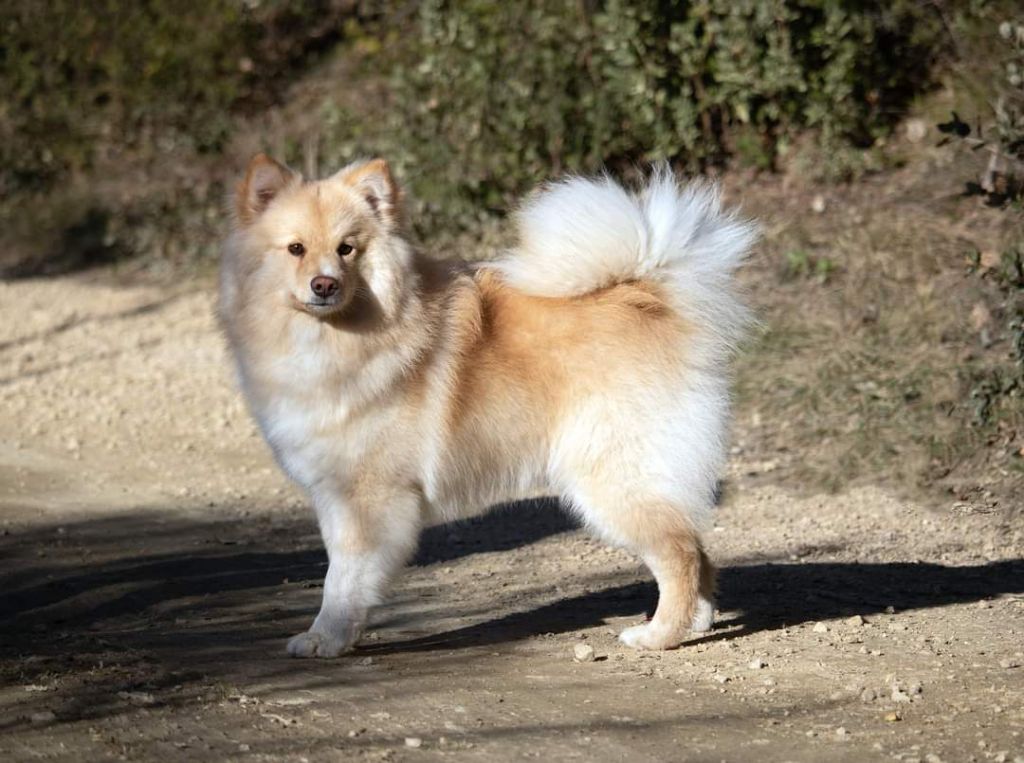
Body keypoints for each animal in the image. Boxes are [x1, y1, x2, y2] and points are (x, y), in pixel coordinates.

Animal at [218, 154, 753, 655]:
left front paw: (325, 638)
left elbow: (344, 578)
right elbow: (342, 569)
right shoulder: (335, 493)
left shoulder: (370, 497)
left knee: (679, 551)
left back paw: (658, 635)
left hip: (614, 477)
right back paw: (697, 623)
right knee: (696, 546)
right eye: (296, 249)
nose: (324, 284)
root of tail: (649, 295)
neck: (336, 338)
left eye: (347, 249)